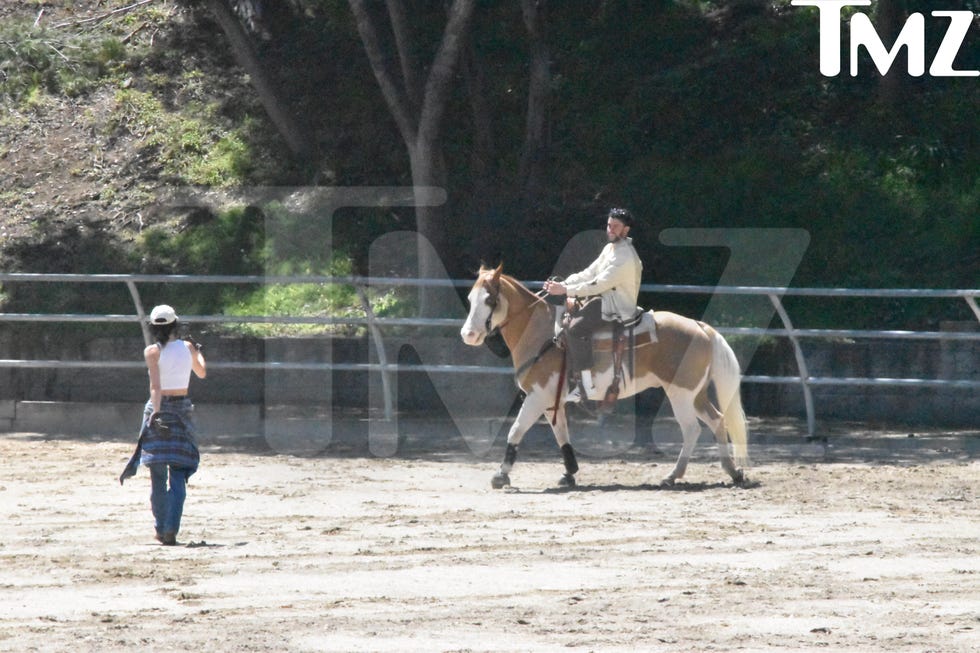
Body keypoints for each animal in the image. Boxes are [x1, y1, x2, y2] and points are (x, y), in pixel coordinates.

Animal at [462, 262, 752, 486]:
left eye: (489, 300)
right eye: (469, 299)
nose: (468, 335)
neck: (540, 334)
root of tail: (701, 327)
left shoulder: (537, 396)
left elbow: (516, 431)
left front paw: (501, 475)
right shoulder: (551, 401)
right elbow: (562, 435)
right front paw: (569, 473)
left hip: (680, 394)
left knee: (692, 429)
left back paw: (672, 475)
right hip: (696, 393)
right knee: (717, 420)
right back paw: (733, 472)